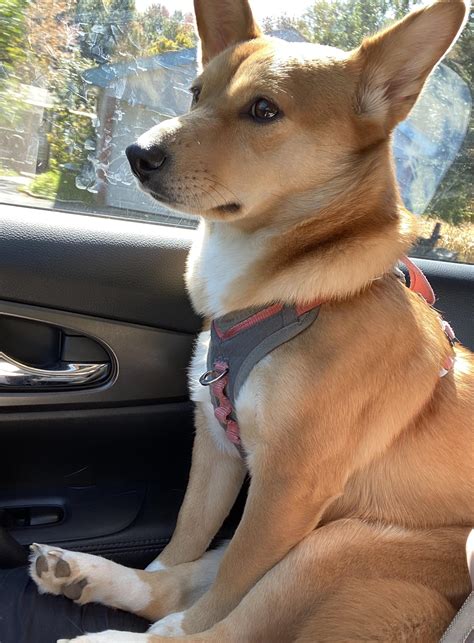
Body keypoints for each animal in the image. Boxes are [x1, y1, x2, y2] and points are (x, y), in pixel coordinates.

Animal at [31, 2, 472, 640]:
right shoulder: (215, 446)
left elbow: (222, 600)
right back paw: (85, 575)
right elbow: (182, 545)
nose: (137, 153)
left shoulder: (287, 490)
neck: (296, 298)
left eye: (264, 110)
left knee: (220, 625)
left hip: (337, 544)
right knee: (173, 591)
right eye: (195, 93)